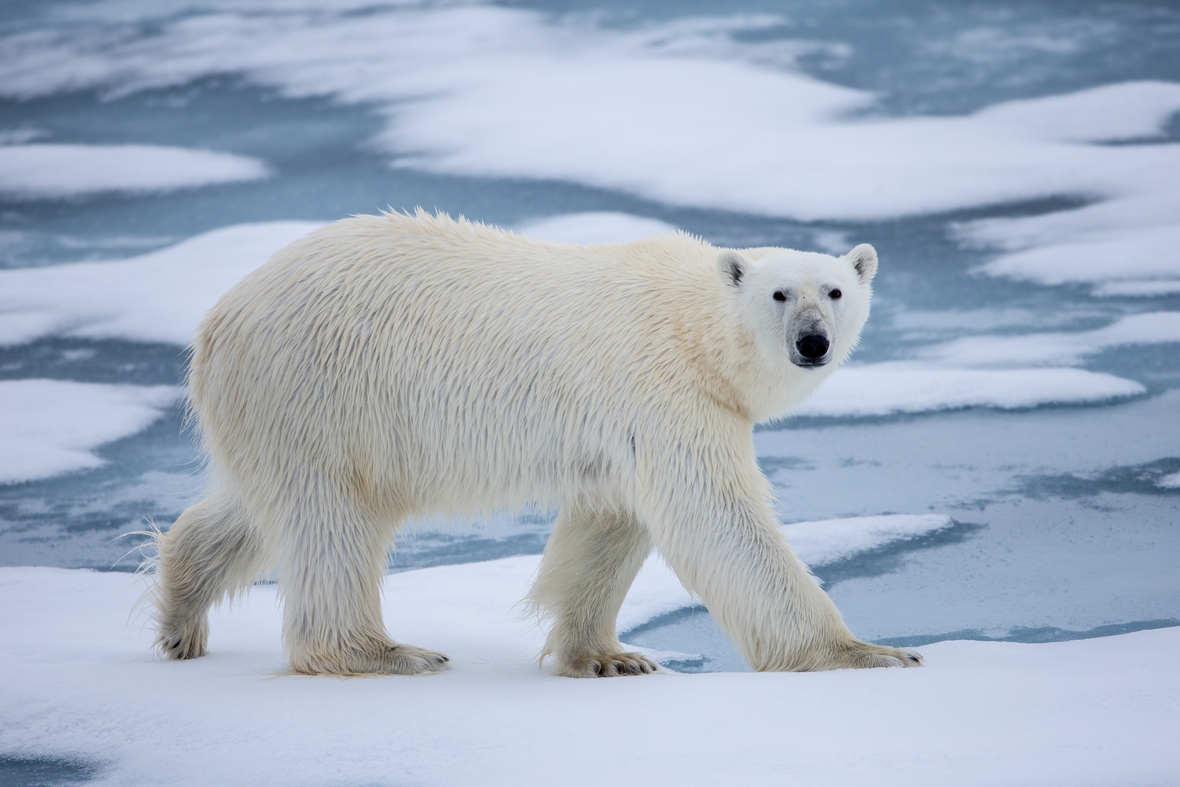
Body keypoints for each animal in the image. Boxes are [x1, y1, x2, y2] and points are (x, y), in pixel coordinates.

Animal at [152, 208, 920, 679]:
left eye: (835, 291)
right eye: (780, 294)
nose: (813, 342)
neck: (691, 326)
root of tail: (221, 317)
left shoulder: (624, 426)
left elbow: (607, 525)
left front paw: (608, 657)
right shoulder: (665, 392)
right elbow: (720, 519)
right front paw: (869, 653)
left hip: (281, 409)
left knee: (256, 509)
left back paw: (182, 611)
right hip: (318, 389)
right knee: (327, 520)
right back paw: (386, 652)